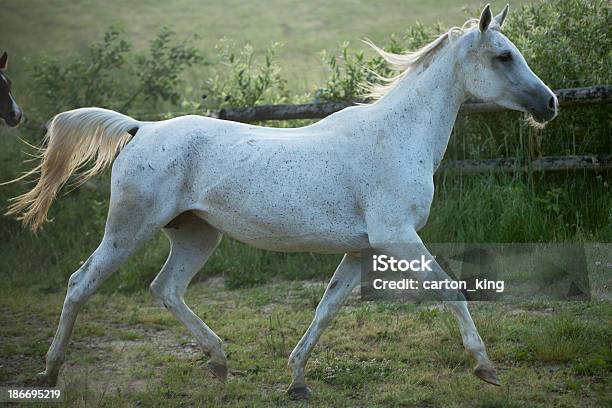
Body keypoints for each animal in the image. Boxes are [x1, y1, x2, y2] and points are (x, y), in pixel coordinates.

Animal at [8, 3, 556, 398]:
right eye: (503, 56)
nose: (550, 103)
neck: (396, 137)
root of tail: (140, 129)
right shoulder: (396, 237)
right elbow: (451, 289)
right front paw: (486, 367)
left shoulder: (364, 248)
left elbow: (328, 306)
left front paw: (296, 380)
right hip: (128, 230)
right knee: (81, 284)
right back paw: (49, 374)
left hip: (196, 235)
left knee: (166, 289)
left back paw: (219, 361)